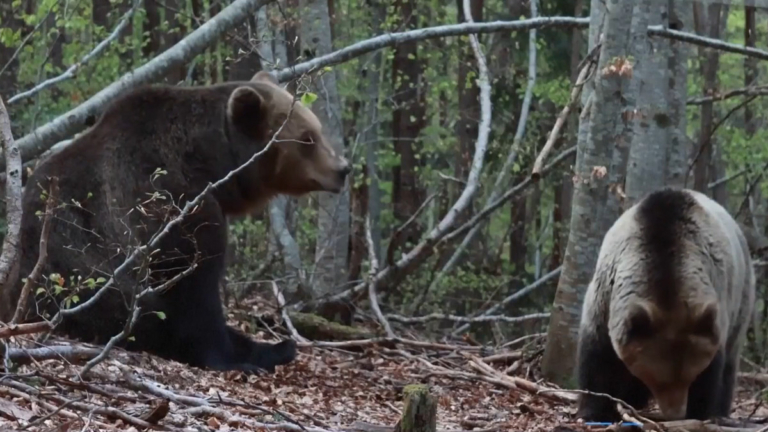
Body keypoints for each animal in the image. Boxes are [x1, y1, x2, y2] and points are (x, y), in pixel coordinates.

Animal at [2, 71, 351, 373]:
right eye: (307, 139)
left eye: (317, 130)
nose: (343, 168)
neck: (208, 162)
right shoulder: (176, 205)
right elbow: (194, 292)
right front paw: (234, 360)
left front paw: (272, 347)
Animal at [575, 187, 755, 422]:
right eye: (657, 380)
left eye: (691, 375)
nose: (676, 413)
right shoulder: (604, 298)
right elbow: (598, 358)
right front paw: (593, 411)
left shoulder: (716, 308)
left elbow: (712, 371)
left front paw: (701, 411)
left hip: (742, 297)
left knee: (730, 360)